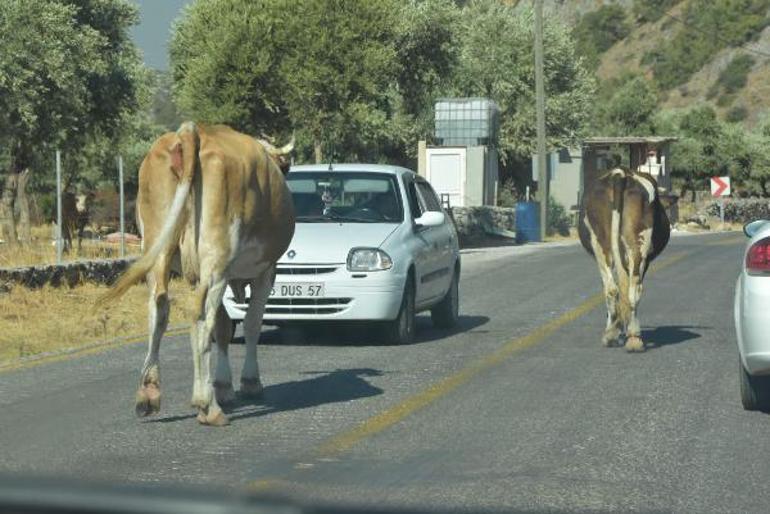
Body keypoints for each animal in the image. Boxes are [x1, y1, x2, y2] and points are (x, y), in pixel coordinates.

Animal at [98, 123, 294, 424]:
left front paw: (224, 386)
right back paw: (207, 405)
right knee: (201, 316)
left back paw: (149, 393)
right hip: (216, 260)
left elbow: (223, 327)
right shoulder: (266, 271)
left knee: (159, 309)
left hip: (159, 248)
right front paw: (248, 382)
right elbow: (250, 323)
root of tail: (192, 131)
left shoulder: (203, 276)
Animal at [576, 168, 664, 352]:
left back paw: (620, 335)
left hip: (602, 245)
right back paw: (631, 336)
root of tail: (620, 173)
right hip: (635, 245)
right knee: (628, 288)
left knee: (616, 289)